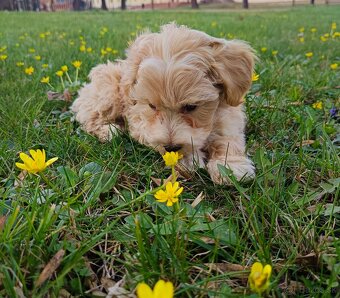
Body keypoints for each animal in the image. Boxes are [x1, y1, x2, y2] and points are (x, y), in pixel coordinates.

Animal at [71, 23, 255, 184]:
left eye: (191, 107)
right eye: (152, 106)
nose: (171, 147)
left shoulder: (229, 115)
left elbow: (229, 138)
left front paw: (230, 166)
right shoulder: (140, 124)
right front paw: (188, 158)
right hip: (108, 92)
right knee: (89, 119)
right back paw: (109, 130)